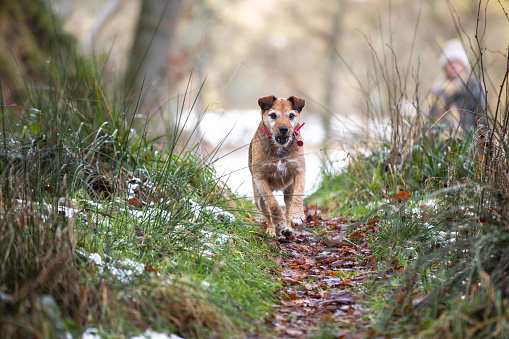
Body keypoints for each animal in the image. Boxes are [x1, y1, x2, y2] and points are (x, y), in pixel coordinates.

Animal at [247, 94, 304, 238]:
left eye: (291, 115)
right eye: (273, 115)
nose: (284, 129)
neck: (279, 150)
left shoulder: (299, 171)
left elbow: (298, 194)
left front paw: (297, 215)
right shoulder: (260, 178)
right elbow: (272, 203)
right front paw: (279, 222)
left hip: (289, 190)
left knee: (288, 207)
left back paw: (288, 228)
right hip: (259, 199)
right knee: (267, 214)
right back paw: (272, 230)